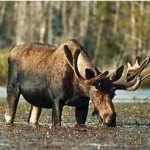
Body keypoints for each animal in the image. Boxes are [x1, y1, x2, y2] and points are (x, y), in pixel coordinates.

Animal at [4, 39, 150, 126]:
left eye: (113, 94)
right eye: (97, 92)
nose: (111, 119)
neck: (77, 87)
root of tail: (11, 52)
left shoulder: (82, 105)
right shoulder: (56, 100)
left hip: (37, 102)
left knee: (32, 119)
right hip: (12, 88)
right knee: (8, 115)